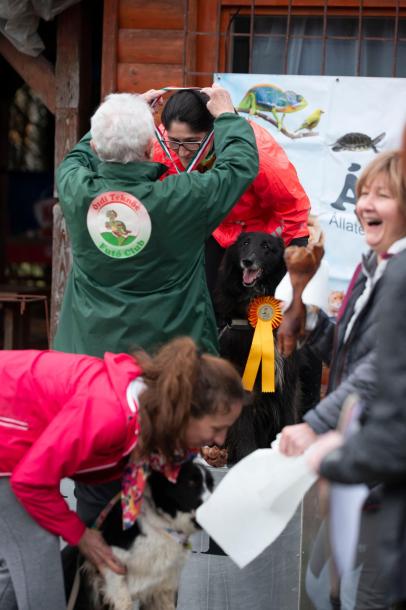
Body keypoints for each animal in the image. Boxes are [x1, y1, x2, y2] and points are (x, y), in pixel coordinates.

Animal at [62, 458, 213, 608]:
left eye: (211, 486)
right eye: (191, 483)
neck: (159, 527)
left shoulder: (164, 583)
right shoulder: (109, 565)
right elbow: (124, 602)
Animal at [214, 232, 300, 460]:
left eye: (266, 246)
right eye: (244, 243)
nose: (247, 261)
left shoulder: (287, 377)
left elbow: (289, 417)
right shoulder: (242, 374)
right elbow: (243, 427)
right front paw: (247, 458)